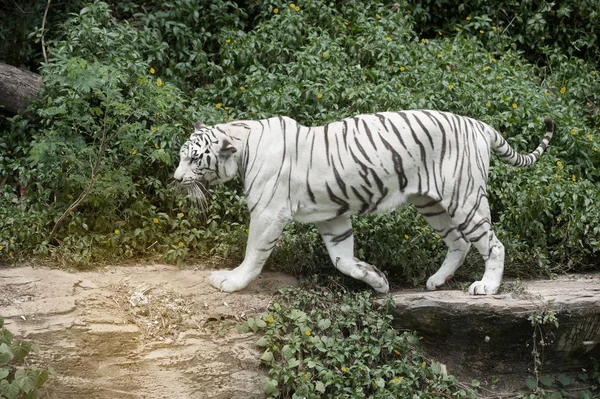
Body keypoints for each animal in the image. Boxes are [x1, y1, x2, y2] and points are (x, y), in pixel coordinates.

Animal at [175, 111, 552, 296]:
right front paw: (379, 281)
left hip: (465, 197)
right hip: (430, 203)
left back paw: (487, 287)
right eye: (182, 156)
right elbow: (343, 260)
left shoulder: (268, 213)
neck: (243, 144)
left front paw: (231, 281)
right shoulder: (331, 216)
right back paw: (436, 281)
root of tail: (480, 124)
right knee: (458, 242)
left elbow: (253, 253)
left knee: (493, 244)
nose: (177, 179)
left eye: (194, 159)